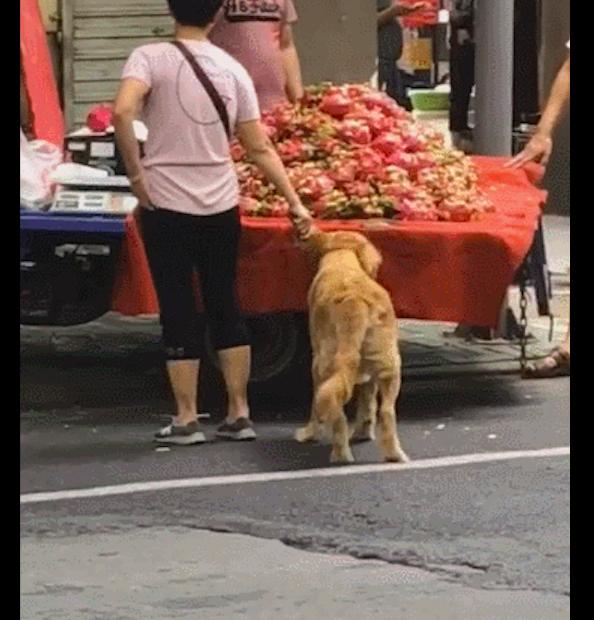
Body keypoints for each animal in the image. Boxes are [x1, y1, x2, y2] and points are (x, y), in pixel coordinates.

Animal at [294, 231, 408, 464]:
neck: (342, 259)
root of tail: (355, 301)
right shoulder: (369, 373)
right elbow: (368, 401)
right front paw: (363, 432)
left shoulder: (315, 361)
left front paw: (310, 433)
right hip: (389, 365)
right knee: (386, 411)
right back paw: (393, 454)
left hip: (324, 366)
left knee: (336, 413)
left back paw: (340, 455)